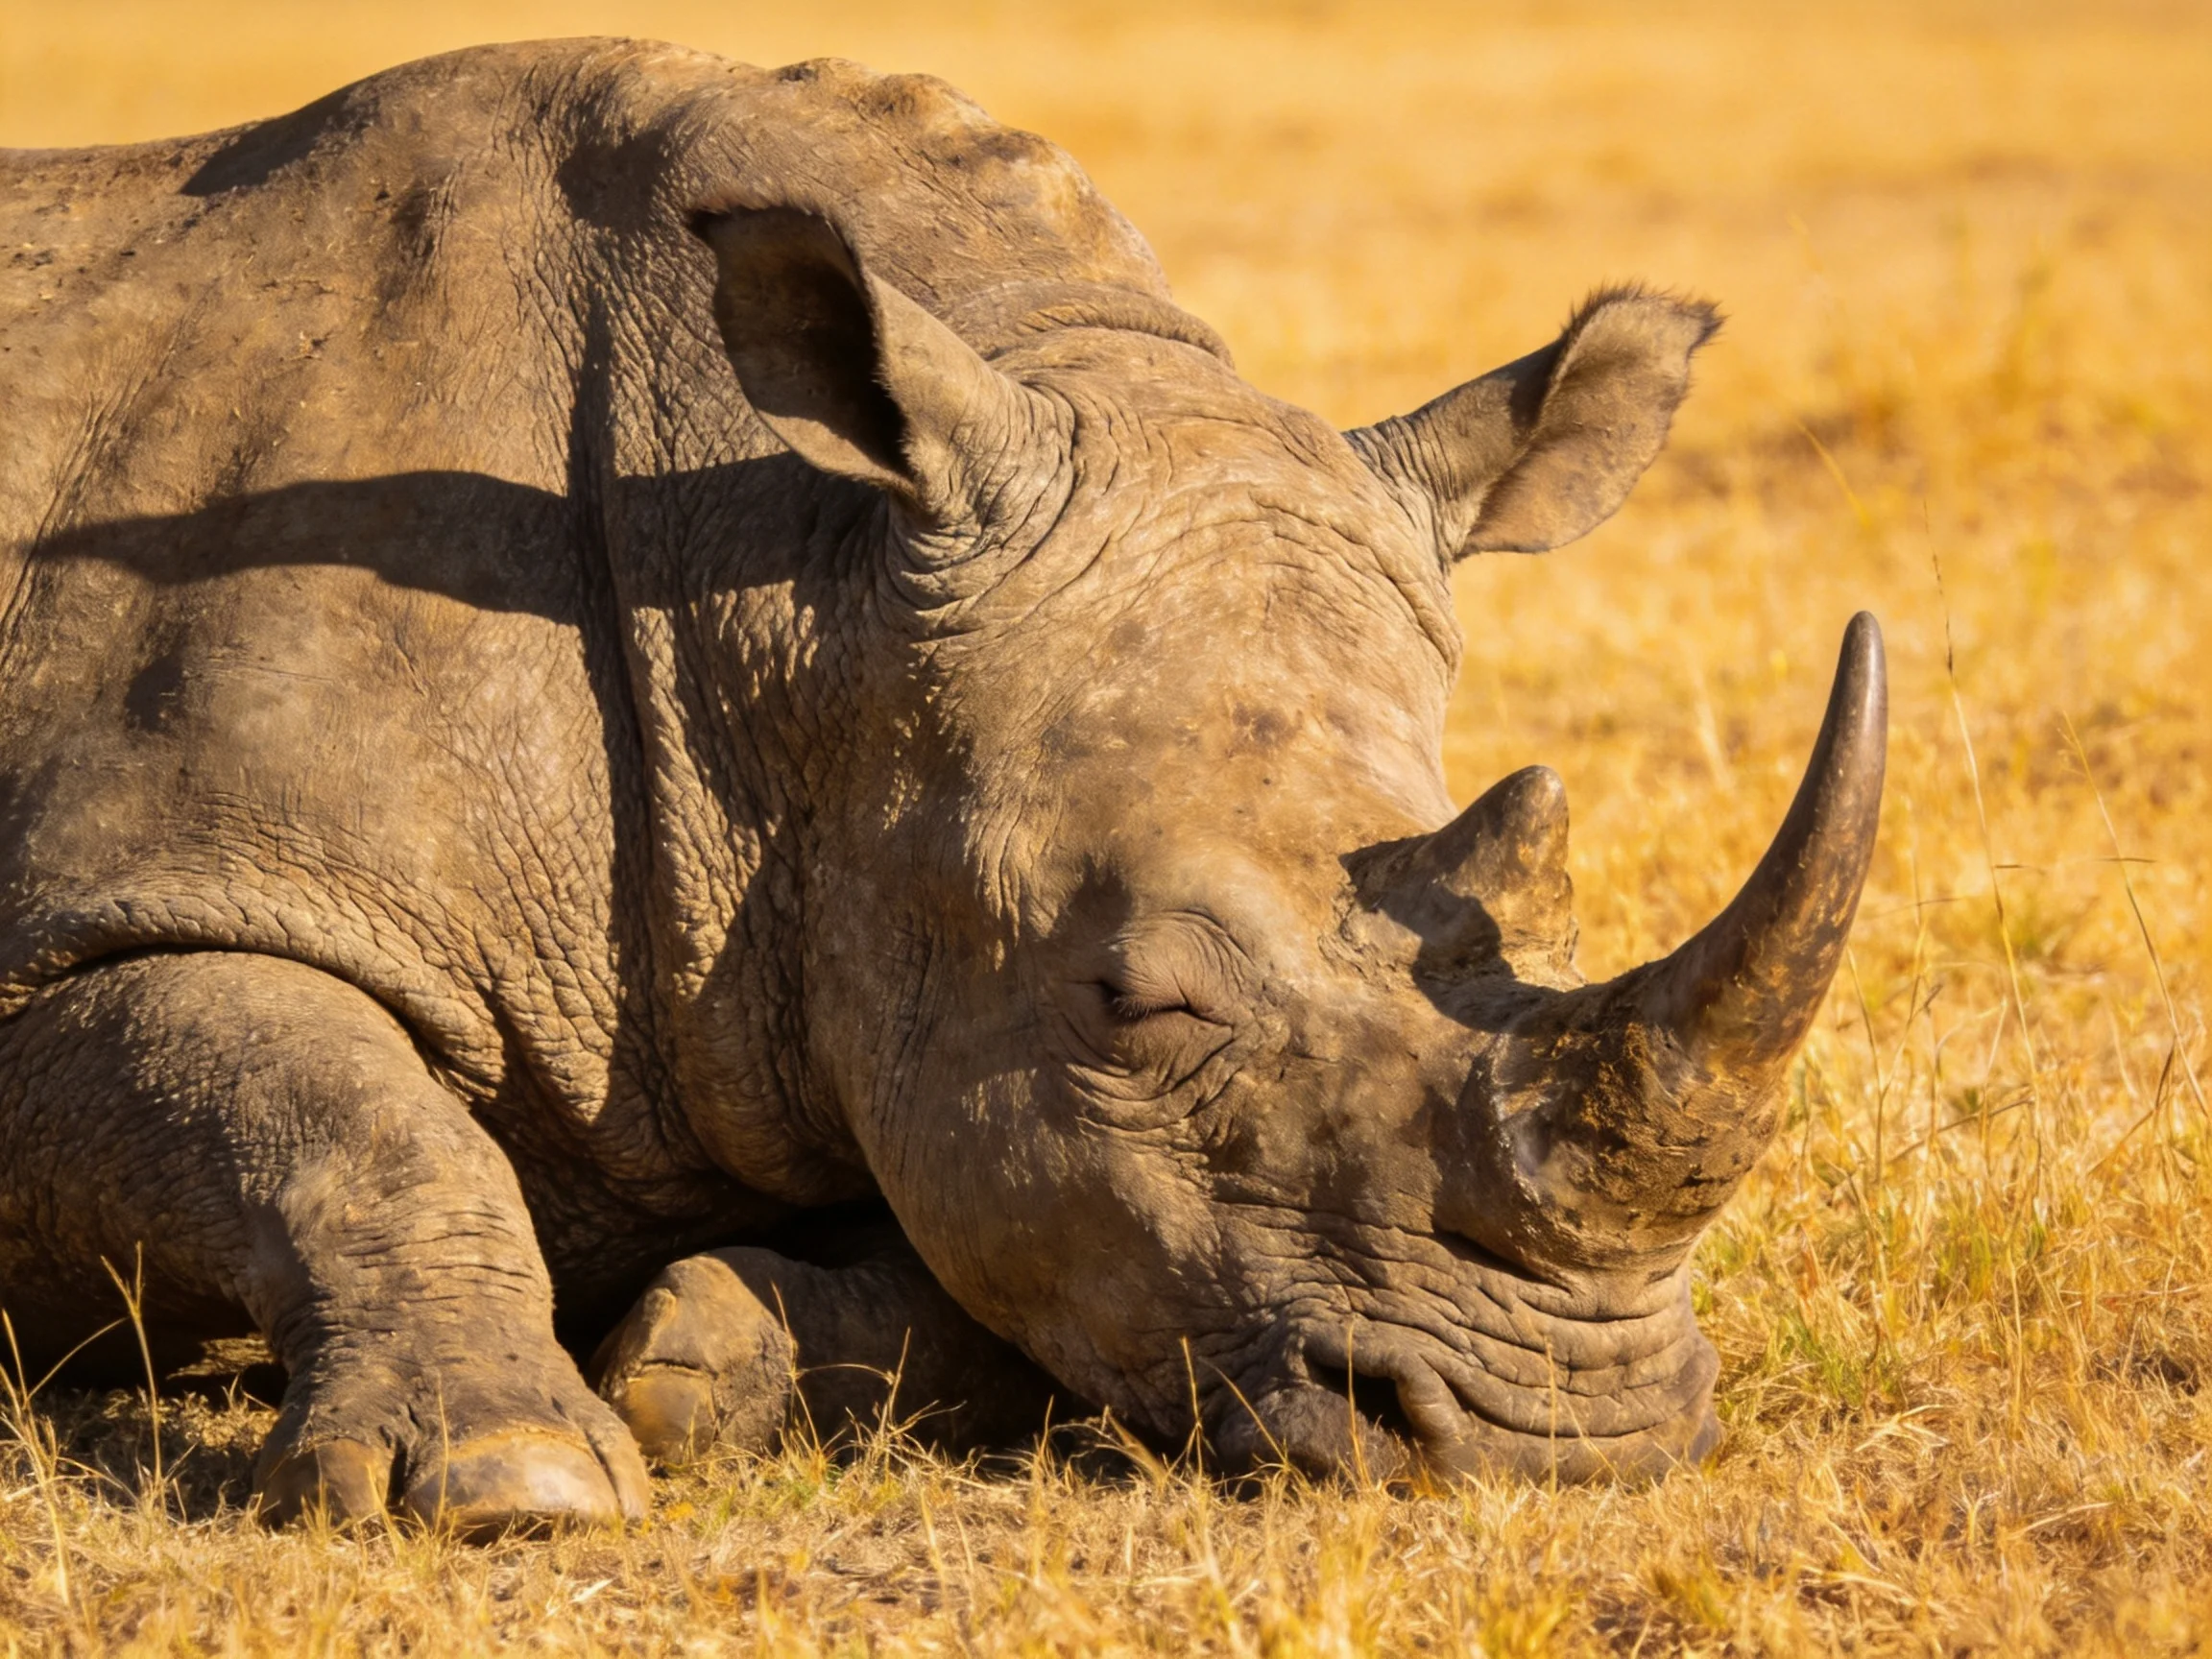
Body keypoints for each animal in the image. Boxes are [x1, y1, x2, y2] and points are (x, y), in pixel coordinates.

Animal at [0, 39, 1885, 1533]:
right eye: (1139, 1002)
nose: (1575, 1434)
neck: (780, 607)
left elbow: (1009, 1256)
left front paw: (693, 1361)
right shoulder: (113, 896)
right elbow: (324, 1100)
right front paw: (506, 1484)